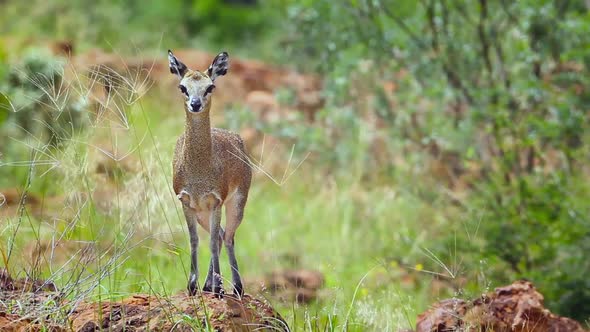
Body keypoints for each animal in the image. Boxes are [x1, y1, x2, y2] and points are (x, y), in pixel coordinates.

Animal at [170, 50, 256, 296]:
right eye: (182, 87)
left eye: (210, 87)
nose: (195, 104)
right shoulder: (187, 202)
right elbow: (194, 241)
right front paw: (192, 285)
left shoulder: (216, 201)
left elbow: (211, 243)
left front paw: (218, 289)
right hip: (203, 213)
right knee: (218, 236)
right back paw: (209, 285)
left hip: (237, 203)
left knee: (227, 237)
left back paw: (235, 287)